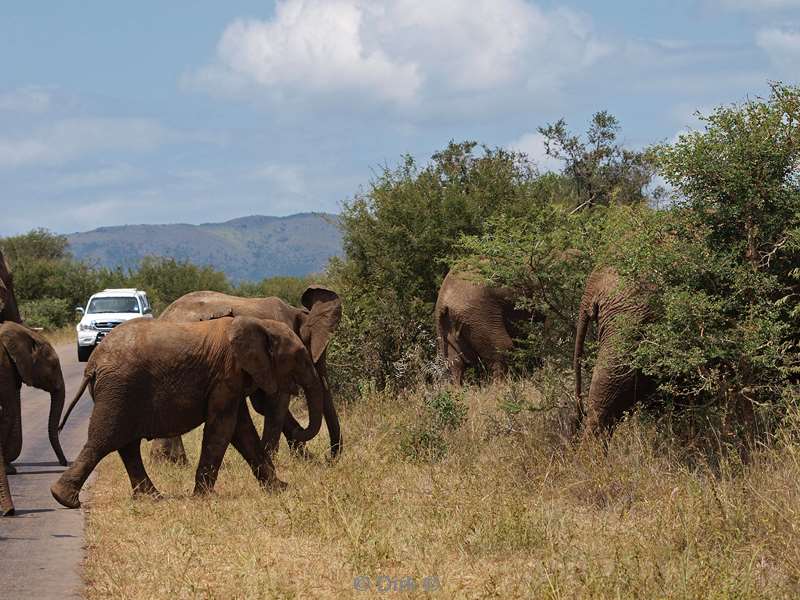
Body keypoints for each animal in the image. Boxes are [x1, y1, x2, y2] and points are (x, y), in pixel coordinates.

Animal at [51, 316, 322, 508]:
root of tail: (93, 363)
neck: (260, 325)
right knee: (104, 441)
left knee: (126, 446)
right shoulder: (226, 375)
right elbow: (223, 428)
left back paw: (153, 497)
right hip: (120, 390)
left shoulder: (232, 380)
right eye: (300, 356)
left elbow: (242, 430)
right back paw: (63, 499)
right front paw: (203, 497)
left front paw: (281, 488)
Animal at [150, 284, 340, 462]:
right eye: (305, 356)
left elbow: (263, 404)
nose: (327, 458)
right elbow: (276, 403)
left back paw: (170, 461)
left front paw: (306, 458)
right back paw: (170, 460)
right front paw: (273, 456)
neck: (297, 312)